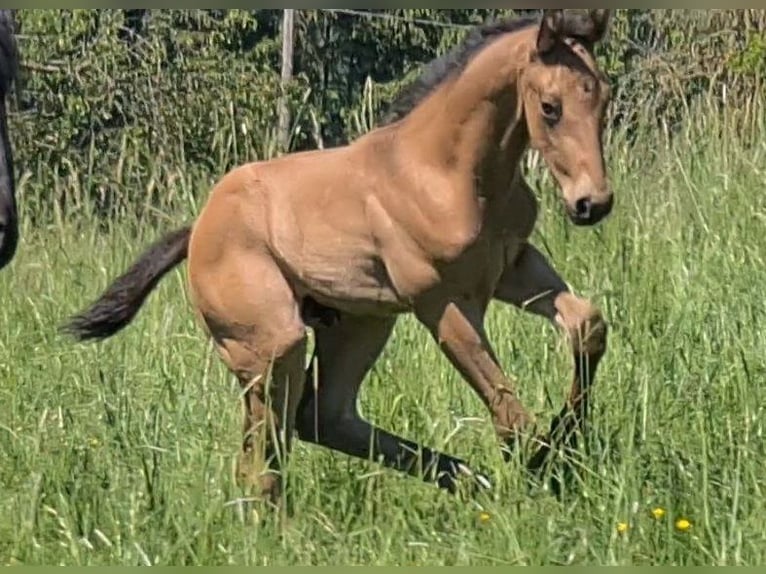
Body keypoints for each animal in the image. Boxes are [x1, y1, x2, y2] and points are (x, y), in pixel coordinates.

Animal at [63, 9, 614, 506]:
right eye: (550, 107)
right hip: (272, 344)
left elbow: (587, 325)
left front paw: (565, 443)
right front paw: (545, 467)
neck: (446, 173)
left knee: (322, 419)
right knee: (262, 460)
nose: (593, 204)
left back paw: (466, 479)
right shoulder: (442, 303)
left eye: (602, 96)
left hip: (357, 323)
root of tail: (196, 229)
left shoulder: (513, 269)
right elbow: (510, 414)